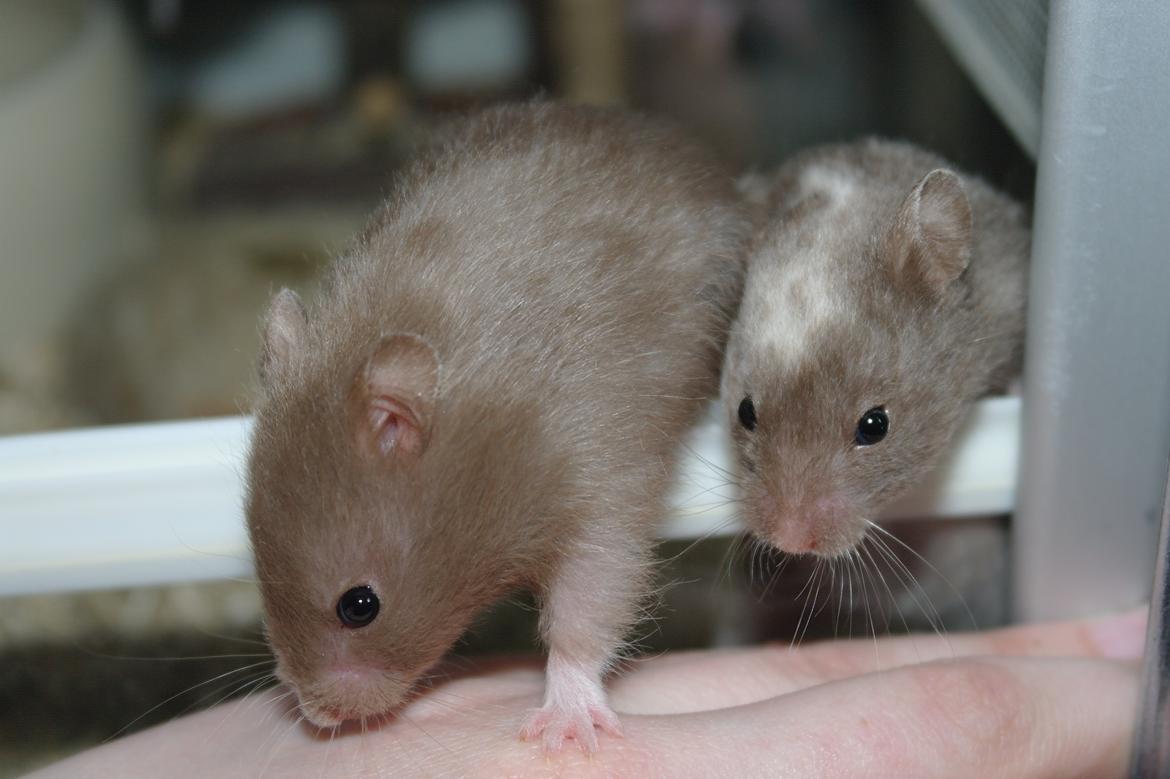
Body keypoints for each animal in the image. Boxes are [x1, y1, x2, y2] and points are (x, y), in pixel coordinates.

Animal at [245, 102, 749, 752]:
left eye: (359, 605)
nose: (317, 717)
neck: (486, 433)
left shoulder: (595, 484)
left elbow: (588, 608)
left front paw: (563, 730)